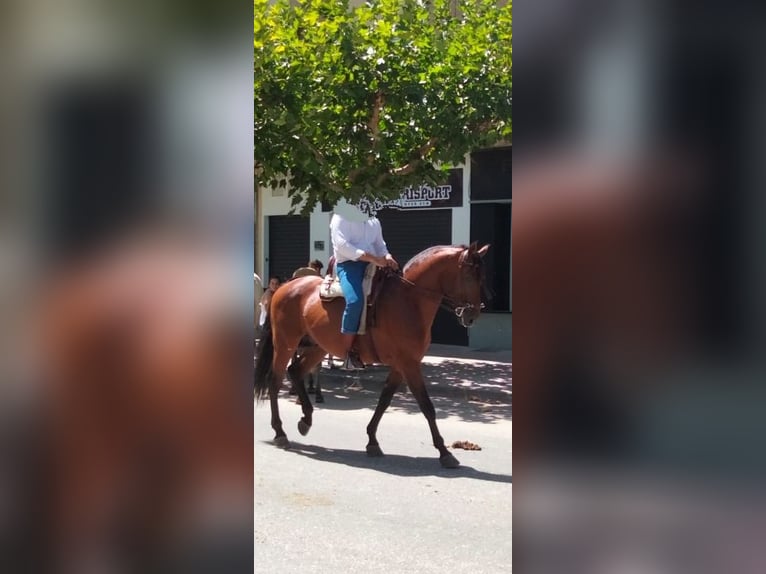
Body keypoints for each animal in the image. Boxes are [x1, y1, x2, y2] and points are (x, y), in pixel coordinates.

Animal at [255, 242, 488, 468]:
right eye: (469, 275)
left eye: (481, 276)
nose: (473, 315)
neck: (409, 300)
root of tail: (285, 286)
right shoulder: (409, 364)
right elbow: (426, 405)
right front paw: (444, 452)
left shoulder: (400, 365)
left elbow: (384, 399)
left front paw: (372, 441)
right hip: (285, 344)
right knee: (274, 381)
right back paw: (280, 432)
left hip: (318, 347)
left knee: (295, 371)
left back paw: (306, 419)